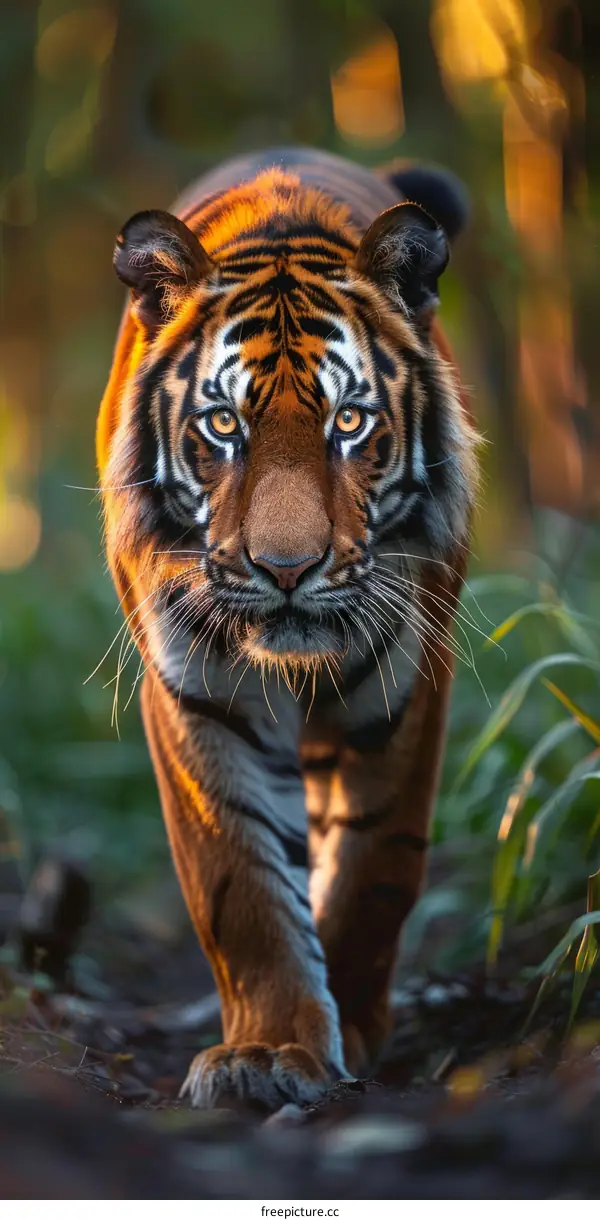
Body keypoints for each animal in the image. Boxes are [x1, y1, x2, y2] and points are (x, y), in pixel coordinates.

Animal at [96, 146, 479, 1111]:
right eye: (223, 424)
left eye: (349, 421)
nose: (286, 570)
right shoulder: (197, 694)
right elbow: (239, 882)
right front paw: (267, 1052)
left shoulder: (406, 684)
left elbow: (377, 863)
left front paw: (351, 1028)